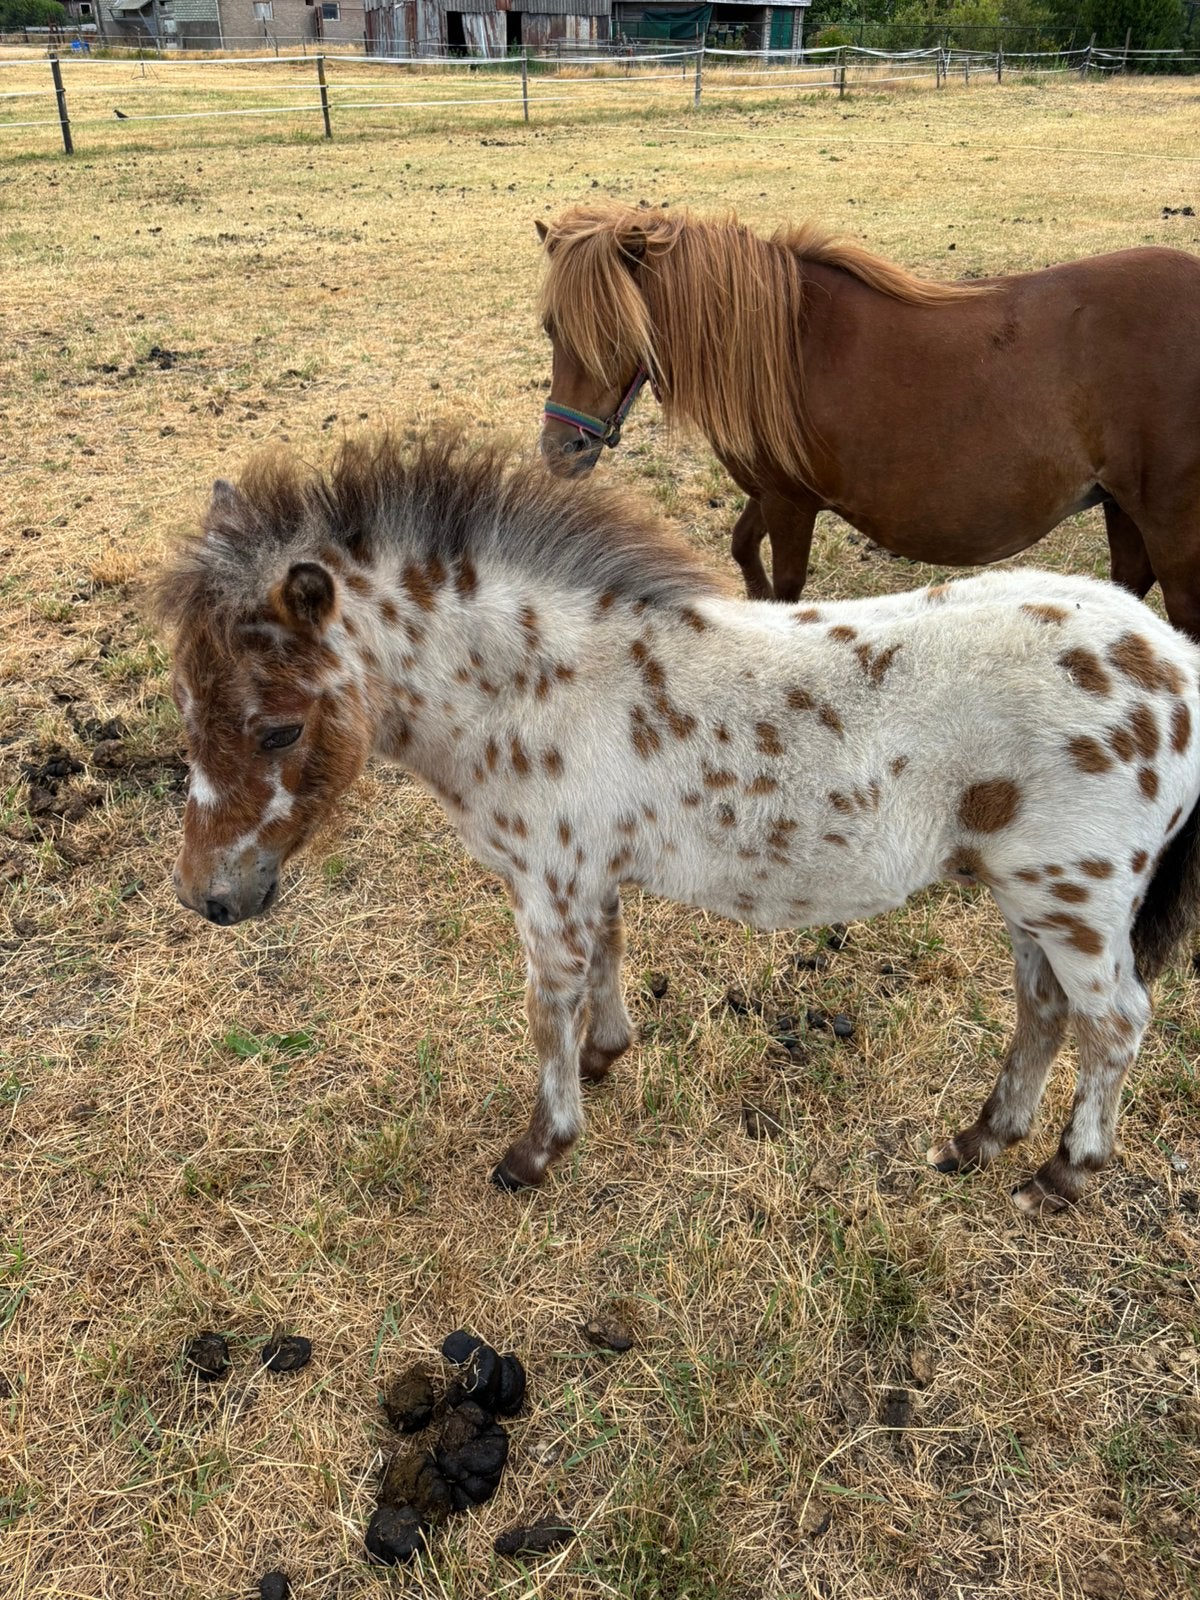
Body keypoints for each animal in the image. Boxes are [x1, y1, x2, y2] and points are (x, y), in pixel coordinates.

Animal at [157, 429, 1200, 1215]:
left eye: (279, 726)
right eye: (182, 703)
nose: (209, 897)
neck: (536, 687)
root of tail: (1174, 661)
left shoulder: (548, 882)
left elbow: (548, 1005)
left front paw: (537, 1150)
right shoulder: (588, 874)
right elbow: (606, 963)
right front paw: (608, 1057)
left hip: (1073, 900)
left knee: (1115, 1022)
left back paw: (1061, 1174)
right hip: (1025, 897)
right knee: (1043, 1010)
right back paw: (980, 1139)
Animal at [536, 205, 1200, 638]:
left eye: (617, 332)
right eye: (550, 327)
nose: (560, 450)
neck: (787, 343)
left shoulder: (791, 503)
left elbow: (786, 586)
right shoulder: (769, 492)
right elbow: (742, 547)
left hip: (1169, 524)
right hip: (1121, 504)